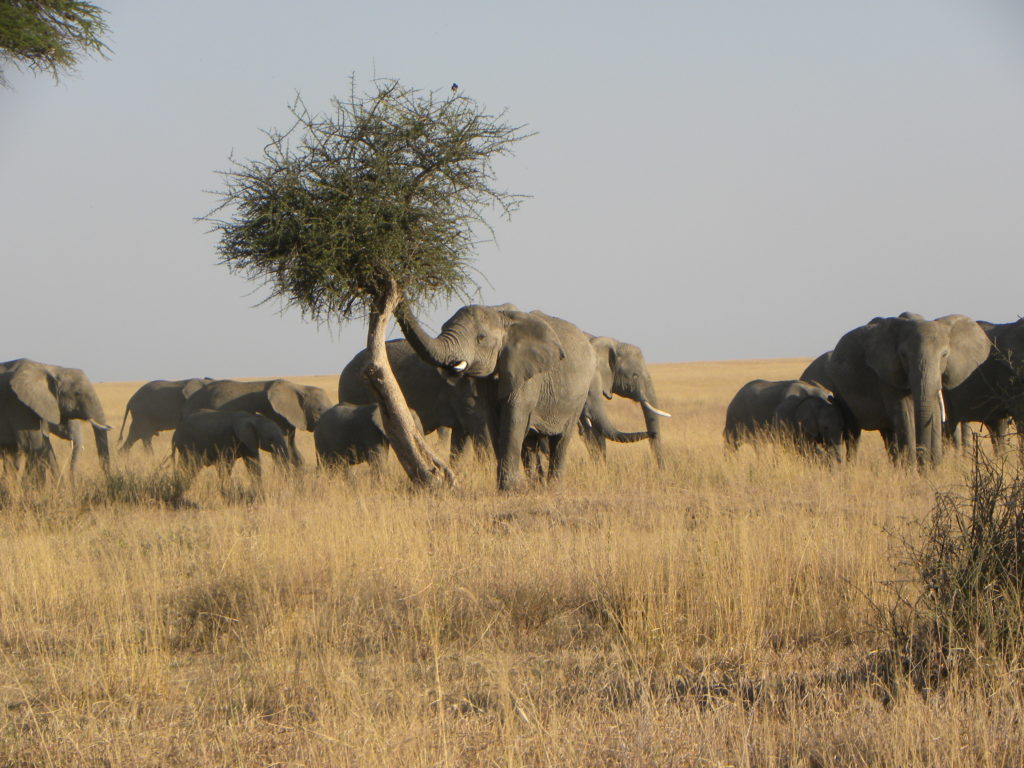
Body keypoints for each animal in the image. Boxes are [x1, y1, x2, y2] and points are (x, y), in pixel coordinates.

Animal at [395, 303, 606, 489]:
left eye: (481, 337)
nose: (395, 287)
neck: (502, 317)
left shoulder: (527, 373)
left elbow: (513, 420)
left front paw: (511, 489)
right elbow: (494, 422)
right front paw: (507, 487)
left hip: (579, 396)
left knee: (561, 440)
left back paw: (554, 487)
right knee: (530, 442)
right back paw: (536, 485)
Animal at [823, 313, 991, 468]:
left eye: (944, 354)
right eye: (903, 355)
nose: (925, 459)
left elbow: (934, 413)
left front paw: (932, 470)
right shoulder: (887, 376)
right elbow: (906, 416)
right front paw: (913, 472)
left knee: (888, 434)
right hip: (839, 389)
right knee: (853, 434)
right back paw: (852, 467)